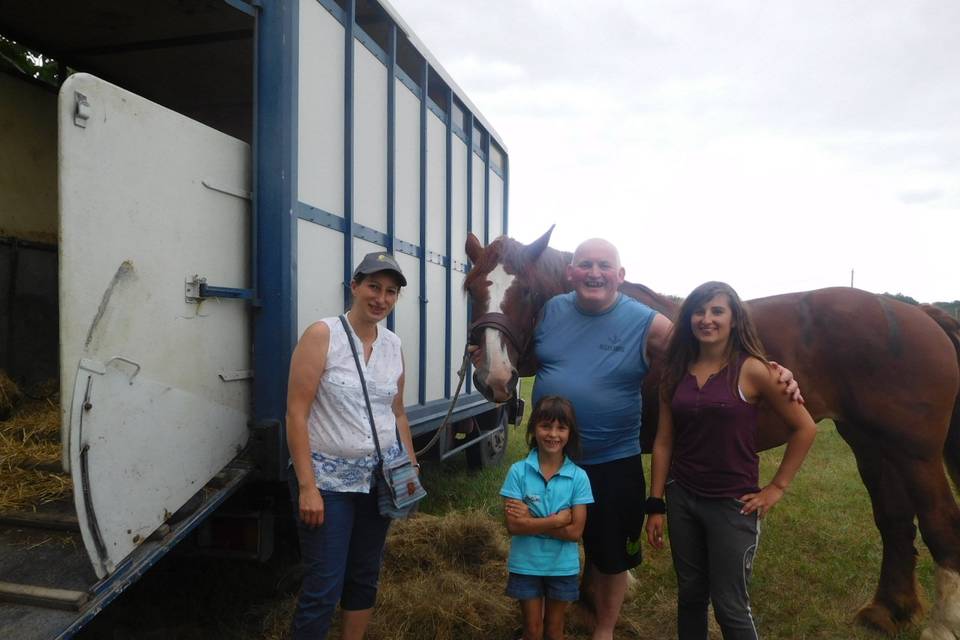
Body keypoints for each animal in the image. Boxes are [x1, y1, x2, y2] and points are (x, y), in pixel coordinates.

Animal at [464, 230, 960, 640]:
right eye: (471, 287)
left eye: (526, 291)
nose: (495, 376)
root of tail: (917, 313)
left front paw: (591, 607)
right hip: (871, 445)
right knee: (895, 521)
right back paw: (888, 610)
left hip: (914, 454)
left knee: (940, 523)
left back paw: (940, 625)